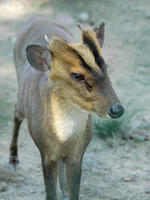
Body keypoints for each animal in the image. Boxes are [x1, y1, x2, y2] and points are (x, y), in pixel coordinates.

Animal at [9, 16, 124, 200]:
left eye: (106, 66)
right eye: (77, 75)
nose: (116, 109)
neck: (64, 138)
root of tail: (35, 18)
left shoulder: (78, 154)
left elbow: (74, 193)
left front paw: (66, 190)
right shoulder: (45, 153)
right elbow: (50, 194)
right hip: (21, 98)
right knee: (15, 112)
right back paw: (13, 161)